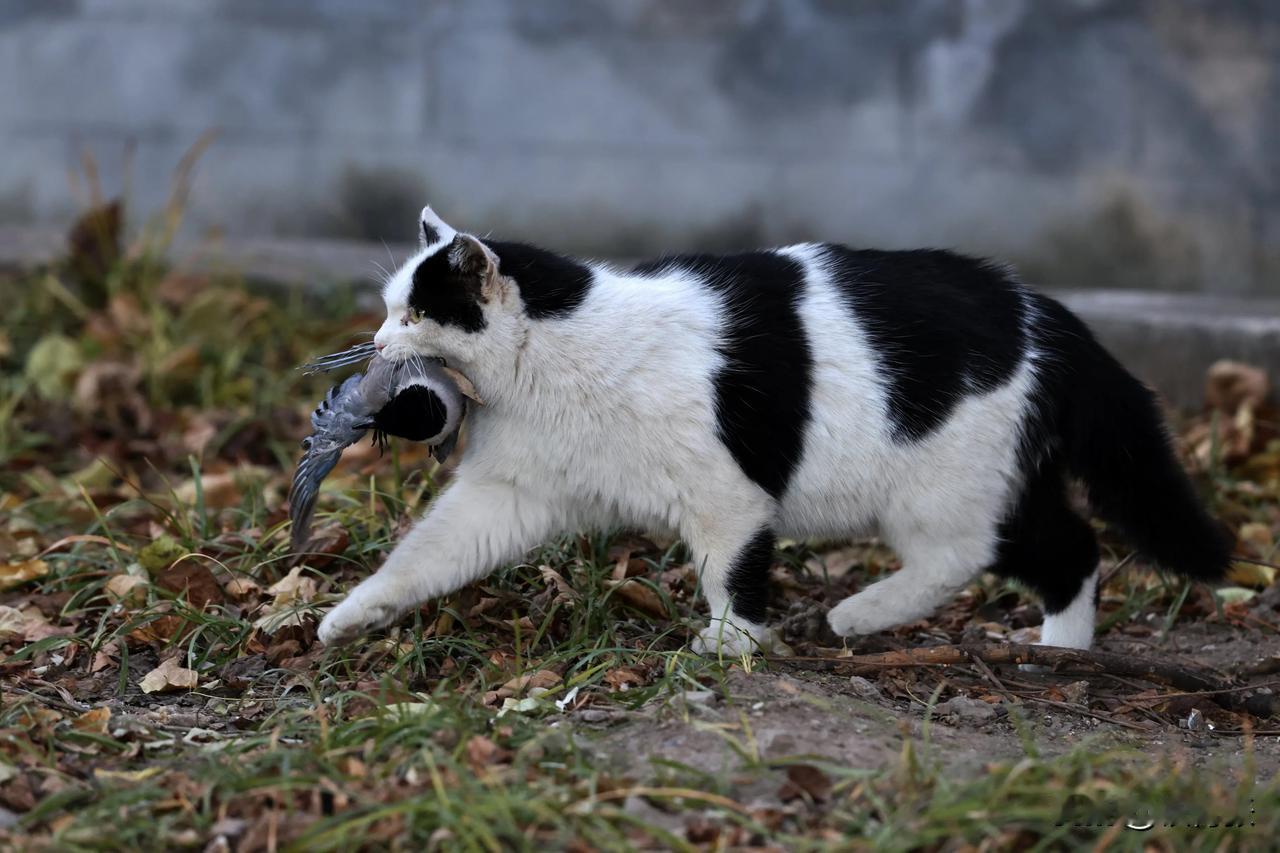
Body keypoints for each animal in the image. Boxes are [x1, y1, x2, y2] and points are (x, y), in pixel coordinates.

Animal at [314, 204, 1233, 650]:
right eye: (390, 307)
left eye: (415, 312)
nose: (379, 343)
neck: (557, 358)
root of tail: (1044, 309)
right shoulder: (510, 493)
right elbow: (424, 556)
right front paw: (352, 616)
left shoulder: (728, 496)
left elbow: (730, 569)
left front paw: (732, 641)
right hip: (1004, 479)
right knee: (1074, 547)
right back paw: (1062, 650)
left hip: (938, 484)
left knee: (967, 552)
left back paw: (858, 615)